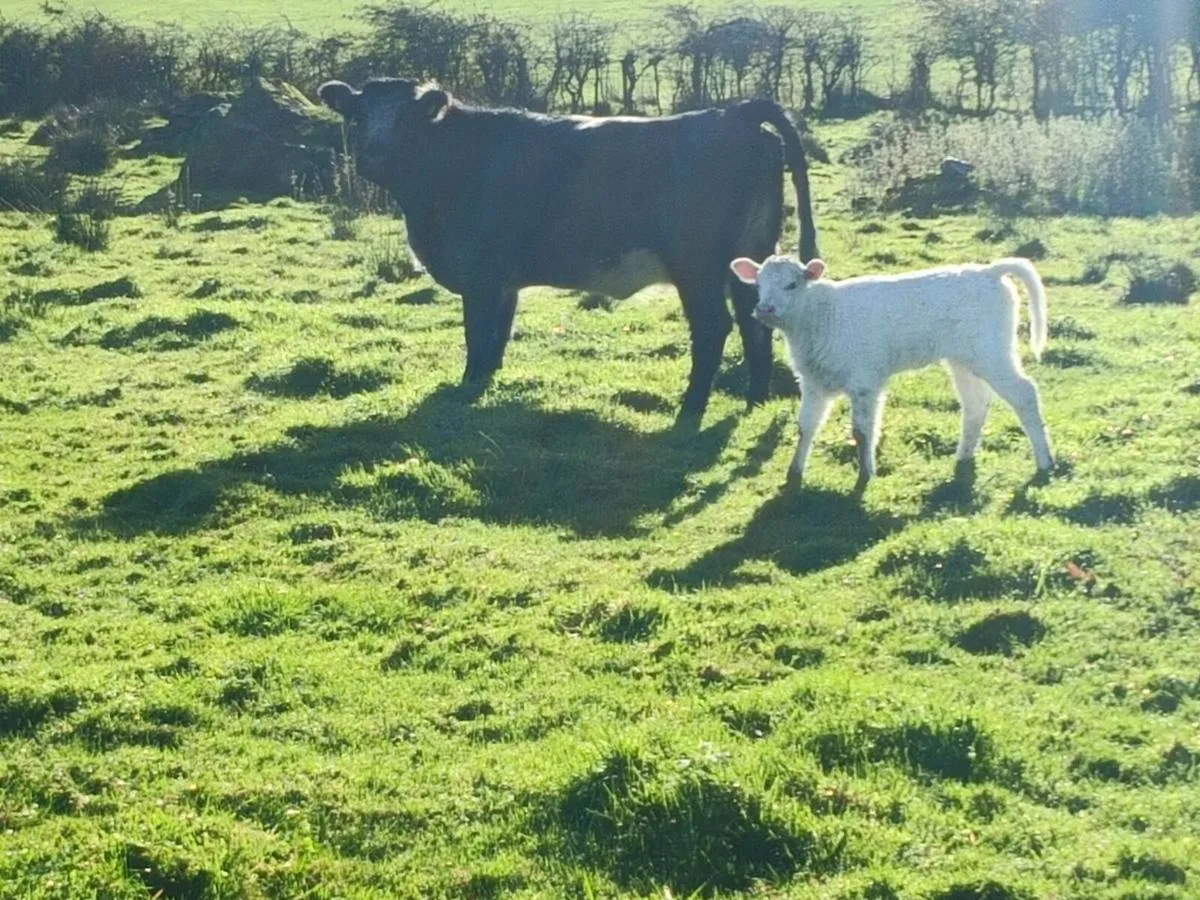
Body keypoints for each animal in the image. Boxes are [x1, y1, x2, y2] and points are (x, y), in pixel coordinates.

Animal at [318, 77, 819, 418]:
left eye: (405, 119)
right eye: (358, 117)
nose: (374, 156)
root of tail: (733, 113)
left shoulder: (481, 277)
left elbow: (478, 336)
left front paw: (467, 387)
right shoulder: (504, 282)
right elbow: (498, 336)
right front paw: (486, 382)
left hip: (695, 264)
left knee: (714, 328)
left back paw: (691, 407)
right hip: (750, 254)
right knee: (754, 325)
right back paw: (754, 399)